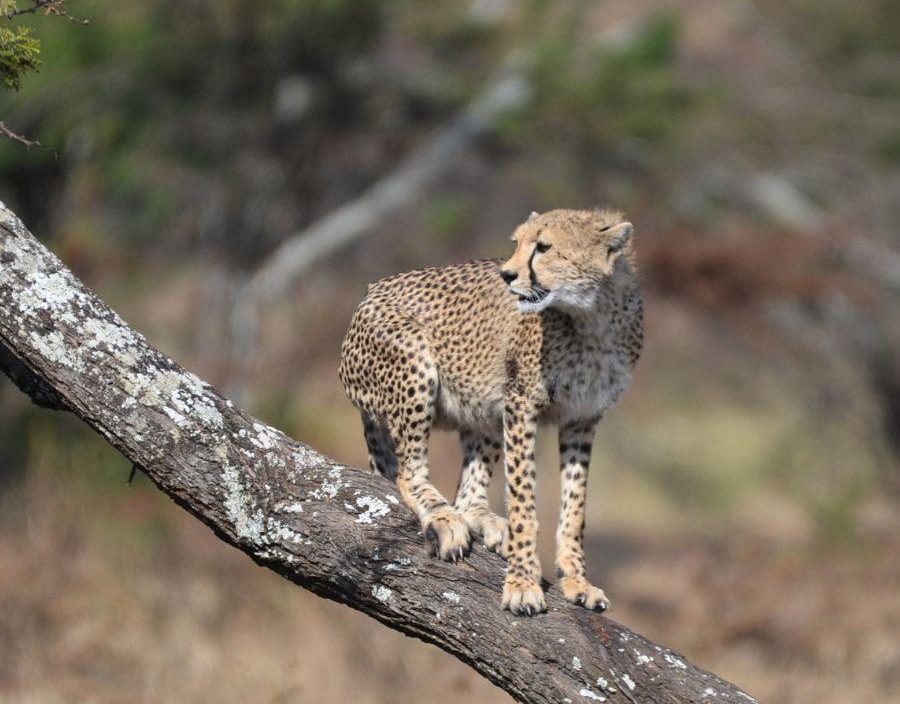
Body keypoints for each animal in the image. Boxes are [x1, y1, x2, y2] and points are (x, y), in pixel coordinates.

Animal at [338, 208, 643, 615]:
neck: (591, 317)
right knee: (408, 473)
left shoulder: (582, 418)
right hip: (415, 362)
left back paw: (486, 522)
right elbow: (524, 503)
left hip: (483, 404)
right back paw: (444, 518)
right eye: (517, 243)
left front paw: (577, 581)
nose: (507, 274)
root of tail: (373, 288)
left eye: (544, 247)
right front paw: (523, 582)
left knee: (467, 495)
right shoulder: (521, 403)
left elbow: (575, 507)